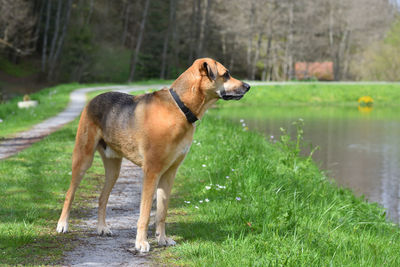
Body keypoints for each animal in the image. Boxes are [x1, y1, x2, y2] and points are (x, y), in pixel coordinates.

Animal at [56, 57, 250, 252]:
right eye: (226, 74)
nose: (248, 86)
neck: (181, 108)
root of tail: (93, 99)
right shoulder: (152, 172)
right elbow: (146, 212)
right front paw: (141, 243)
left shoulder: (169, 173)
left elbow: (162, 212)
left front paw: (162, 239)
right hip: (83, 158)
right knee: (69, 194)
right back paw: (63, 224)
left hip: (113, 169)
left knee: (103, 198)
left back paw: (102, 227)